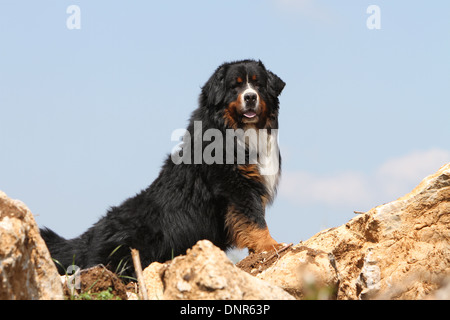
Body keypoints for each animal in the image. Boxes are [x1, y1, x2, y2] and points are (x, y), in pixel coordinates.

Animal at [41, 59, 284, 276]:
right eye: (236, 86)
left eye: (258, 84)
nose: (250, 96)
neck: (241, 133)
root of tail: (88, 237)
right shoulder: (236, 185)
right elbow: (254, 220)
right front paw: (272, 245)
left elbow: (251, 221)